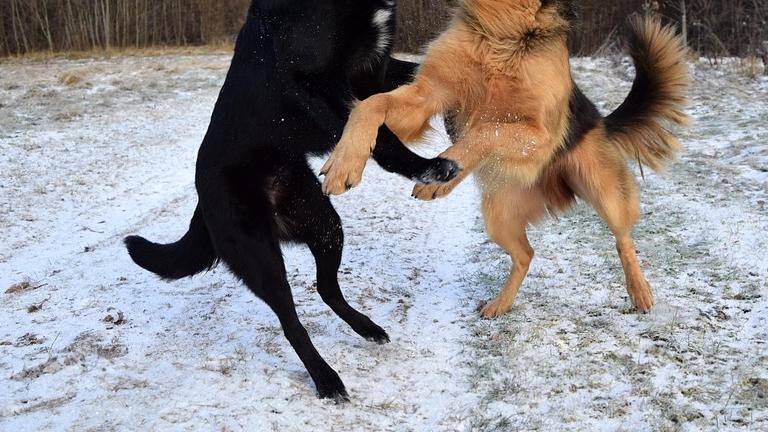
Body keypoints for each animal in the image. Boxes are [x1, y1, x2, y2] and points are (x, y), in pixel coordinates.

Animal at [124, 0, 456, 400]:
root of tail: (201, 203)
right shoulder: (313, 84)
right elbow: (375, 129)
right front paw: (426, 167)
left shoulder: (372, 71)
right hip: (262, 260)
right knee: (291, 324)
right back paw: (327, 379)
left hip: (324, 224)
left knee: (326, 288)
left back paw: (366, 328)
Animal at [320, 0, 688, 318]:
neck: (504, 28)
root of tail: (602, 121)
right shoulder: (427, 96)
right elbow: (370, 104)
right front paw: (344, 162)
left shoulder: (540, 135)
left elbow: (487, 129)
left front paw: (443, 172)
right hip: (498, 215)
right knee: (525, 255)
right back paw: (501, 303)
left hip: (604, 192)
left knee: (623, 239)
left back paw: (640, 291)